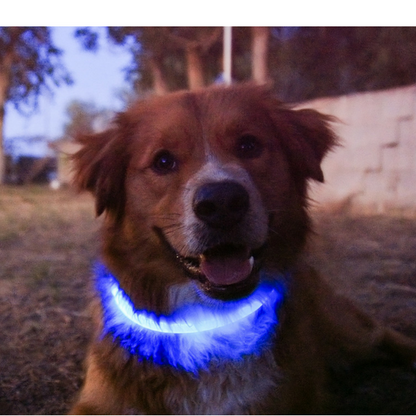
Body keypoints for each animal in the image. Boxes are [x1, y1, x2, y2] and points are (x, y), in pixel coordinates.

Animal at [70, 83, 414, 414]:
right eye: (163, 161)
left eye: (249, 145)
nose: (221, 202)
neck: (208, 320)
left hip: (346, 331)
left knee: (381, 332)